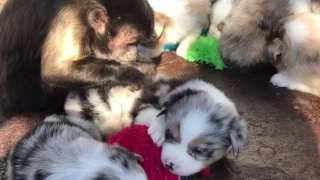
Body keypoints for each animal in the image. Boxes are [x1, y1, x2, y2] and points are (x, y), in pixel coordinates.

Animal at [0, 0, 155, 120]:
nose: (134, 52)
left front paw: (142, 65)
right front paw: (128, 74)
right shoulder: (71, 18)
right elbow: (54, 71)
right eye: (130, 43)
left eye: (138, 43)